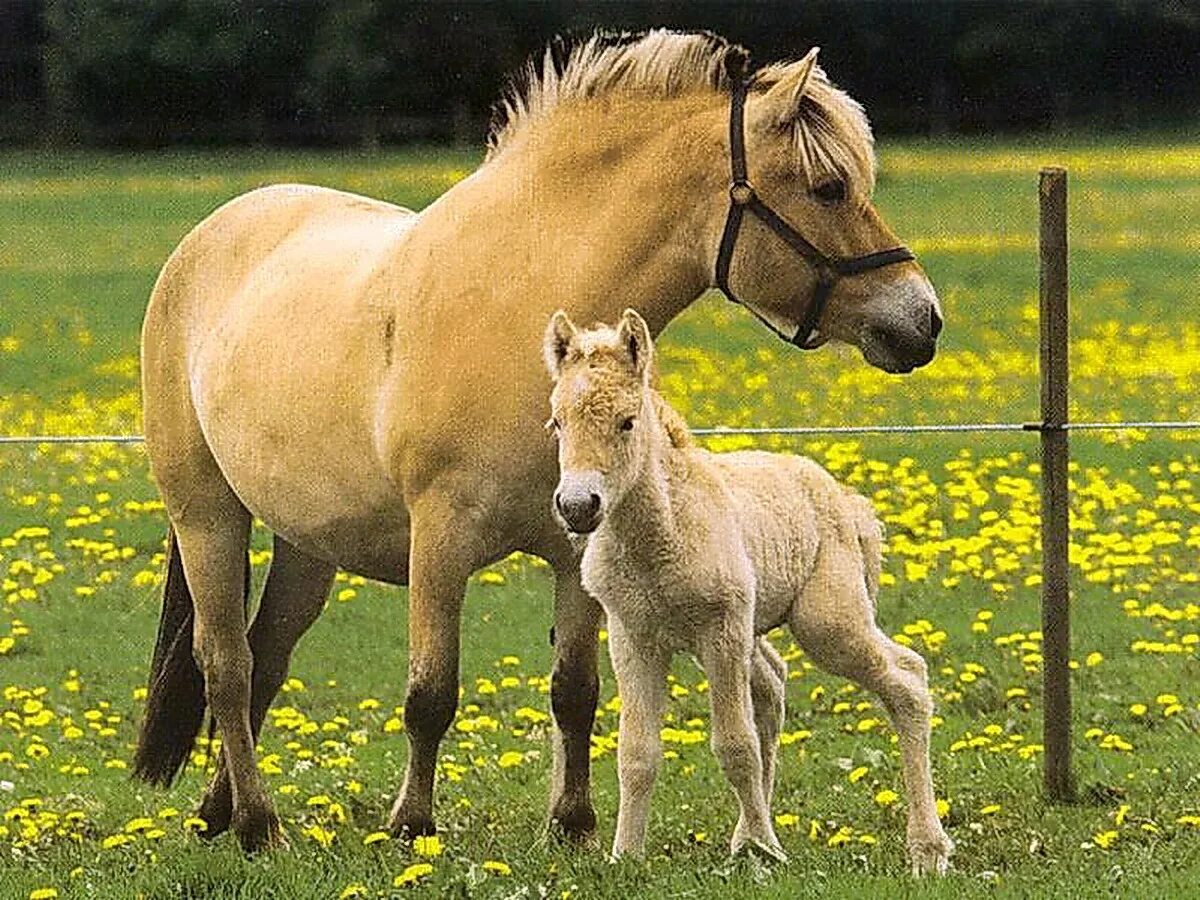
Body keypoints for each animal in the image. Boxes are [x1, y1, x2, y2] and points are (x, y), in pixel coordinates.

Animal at [547, 309, 955, 873]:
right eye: (557, 423)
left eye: (627, 422)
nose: (577, 506)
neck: (662, 534)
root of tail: (847, 502)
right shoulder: (634, 638)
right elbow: (637, 752)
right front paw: (626, 855)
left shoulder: (721, 630)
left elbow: (734, 746)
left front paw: (765, 849)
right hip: (754, 628)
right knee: (774, 685)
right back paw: (746, 833)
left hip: (827, 625)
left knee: (907, 678)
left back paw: (927, 849)